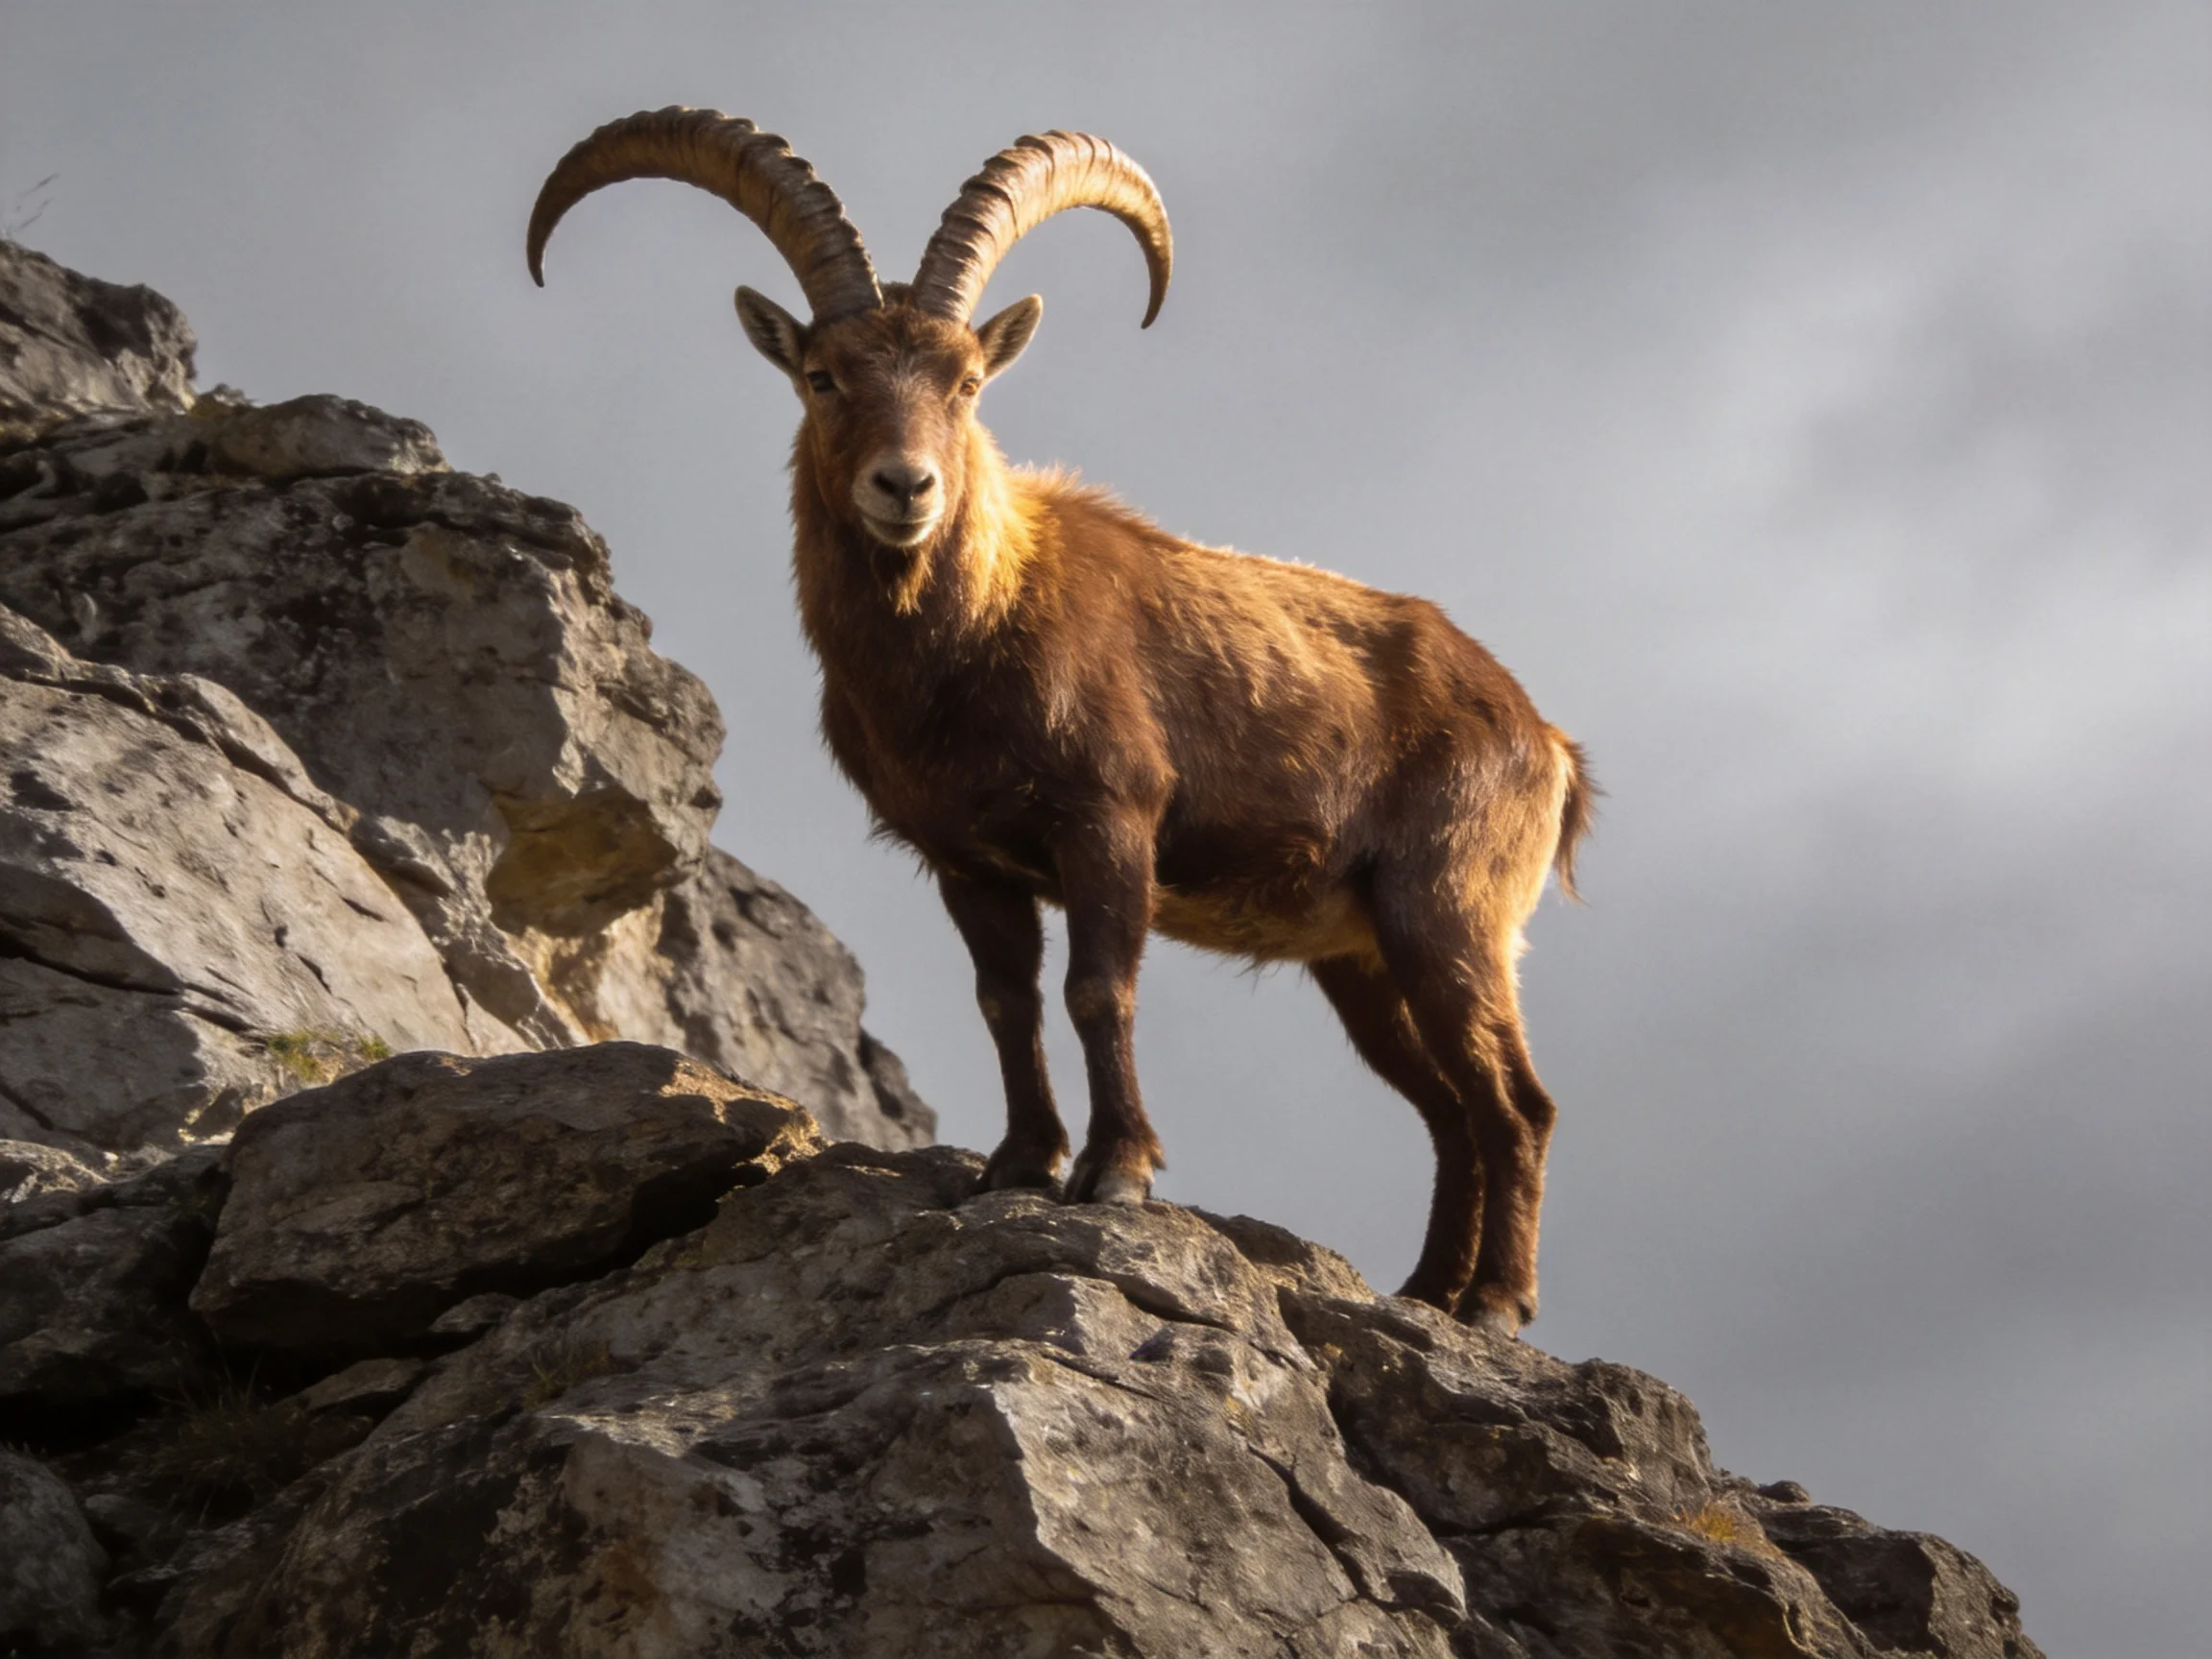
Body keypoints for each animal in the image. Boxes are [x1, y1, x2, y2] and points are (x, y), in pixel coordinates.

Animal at [528, 110, 1592, 1334]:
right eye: (823, 375)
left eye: (967, 380)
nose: (907, 487)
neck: (976, 634)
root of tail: (1545, 740)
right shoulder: (966, 859)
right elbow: (1006, 1001)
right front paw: (1021, 1164)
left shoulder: (1110, 824)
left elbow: (1097, 989)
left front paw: (1118, 1170)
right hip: (1362, 957)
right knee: (1449, 1107)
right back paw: (1428, 1292)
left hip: (1448, 908)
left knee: (1516, 1101)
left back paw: (1497, 1302)